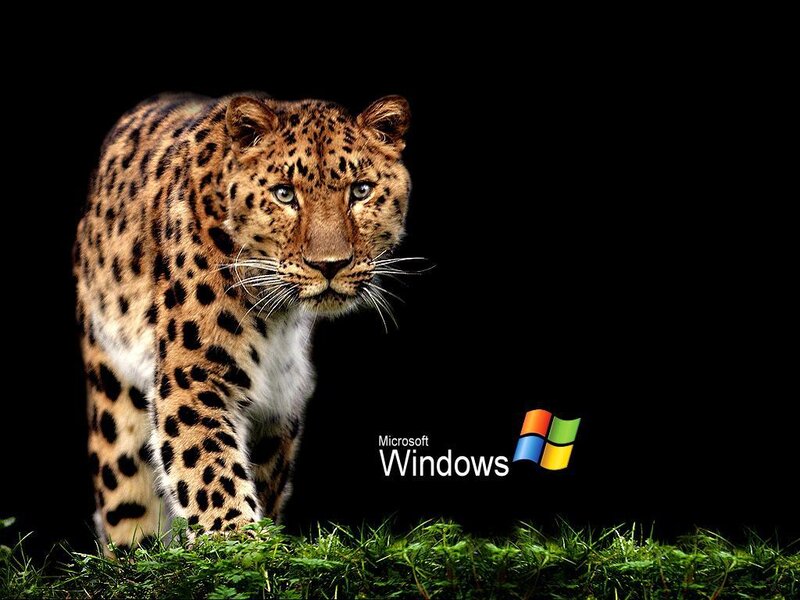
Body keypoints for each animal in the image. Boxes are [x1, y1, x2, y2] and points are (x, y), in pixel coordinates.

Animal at [73, 92, 412, 549]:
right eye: (284, 195)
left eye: (361, 191)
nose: (330, 265)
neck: (278, 316)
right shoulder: (192, 373)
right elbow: (207, 463)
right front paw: (236, 538)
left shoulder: (280, 408)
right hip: (113, 393)